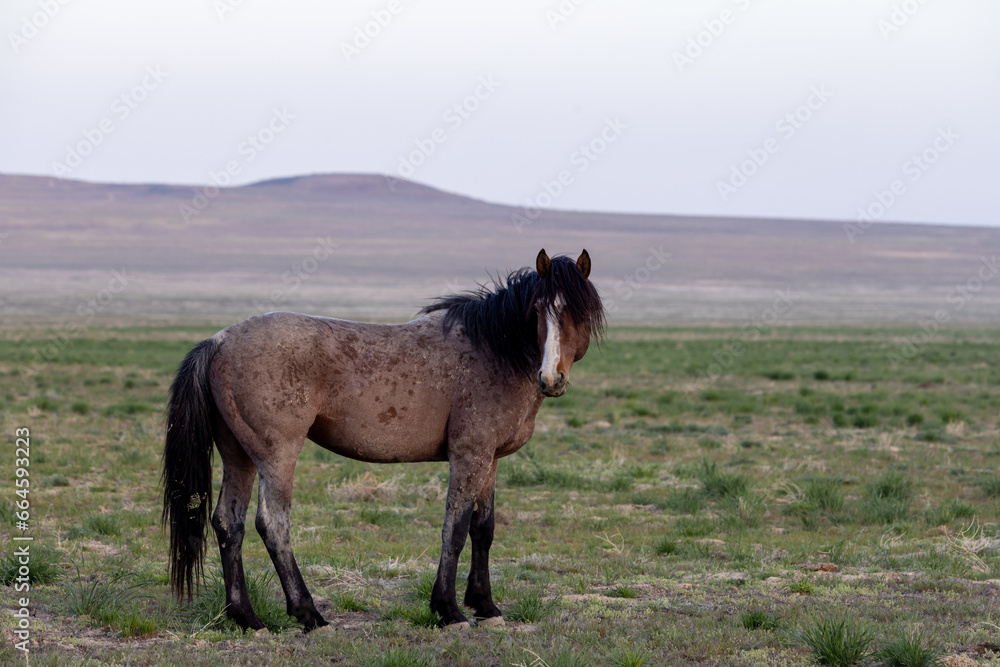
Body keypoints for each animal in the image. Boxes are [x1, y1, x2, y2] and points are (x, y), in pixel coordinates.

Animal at [162, 249, 605, 632]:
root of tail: (219, 340)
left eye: (580, 312)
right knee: (272, 525)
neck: (494, 350)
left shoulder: (490, 461)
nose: (551, 378)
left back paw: (247, 618)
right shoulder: (469, 457)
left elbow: (484, 530)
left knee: (228, 524)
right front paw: (449, 610)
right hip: (277, 457)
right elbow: (455, 529)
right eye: (538, 310)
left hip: (239, 456)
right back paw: (309, 614)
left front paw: (486, 606)